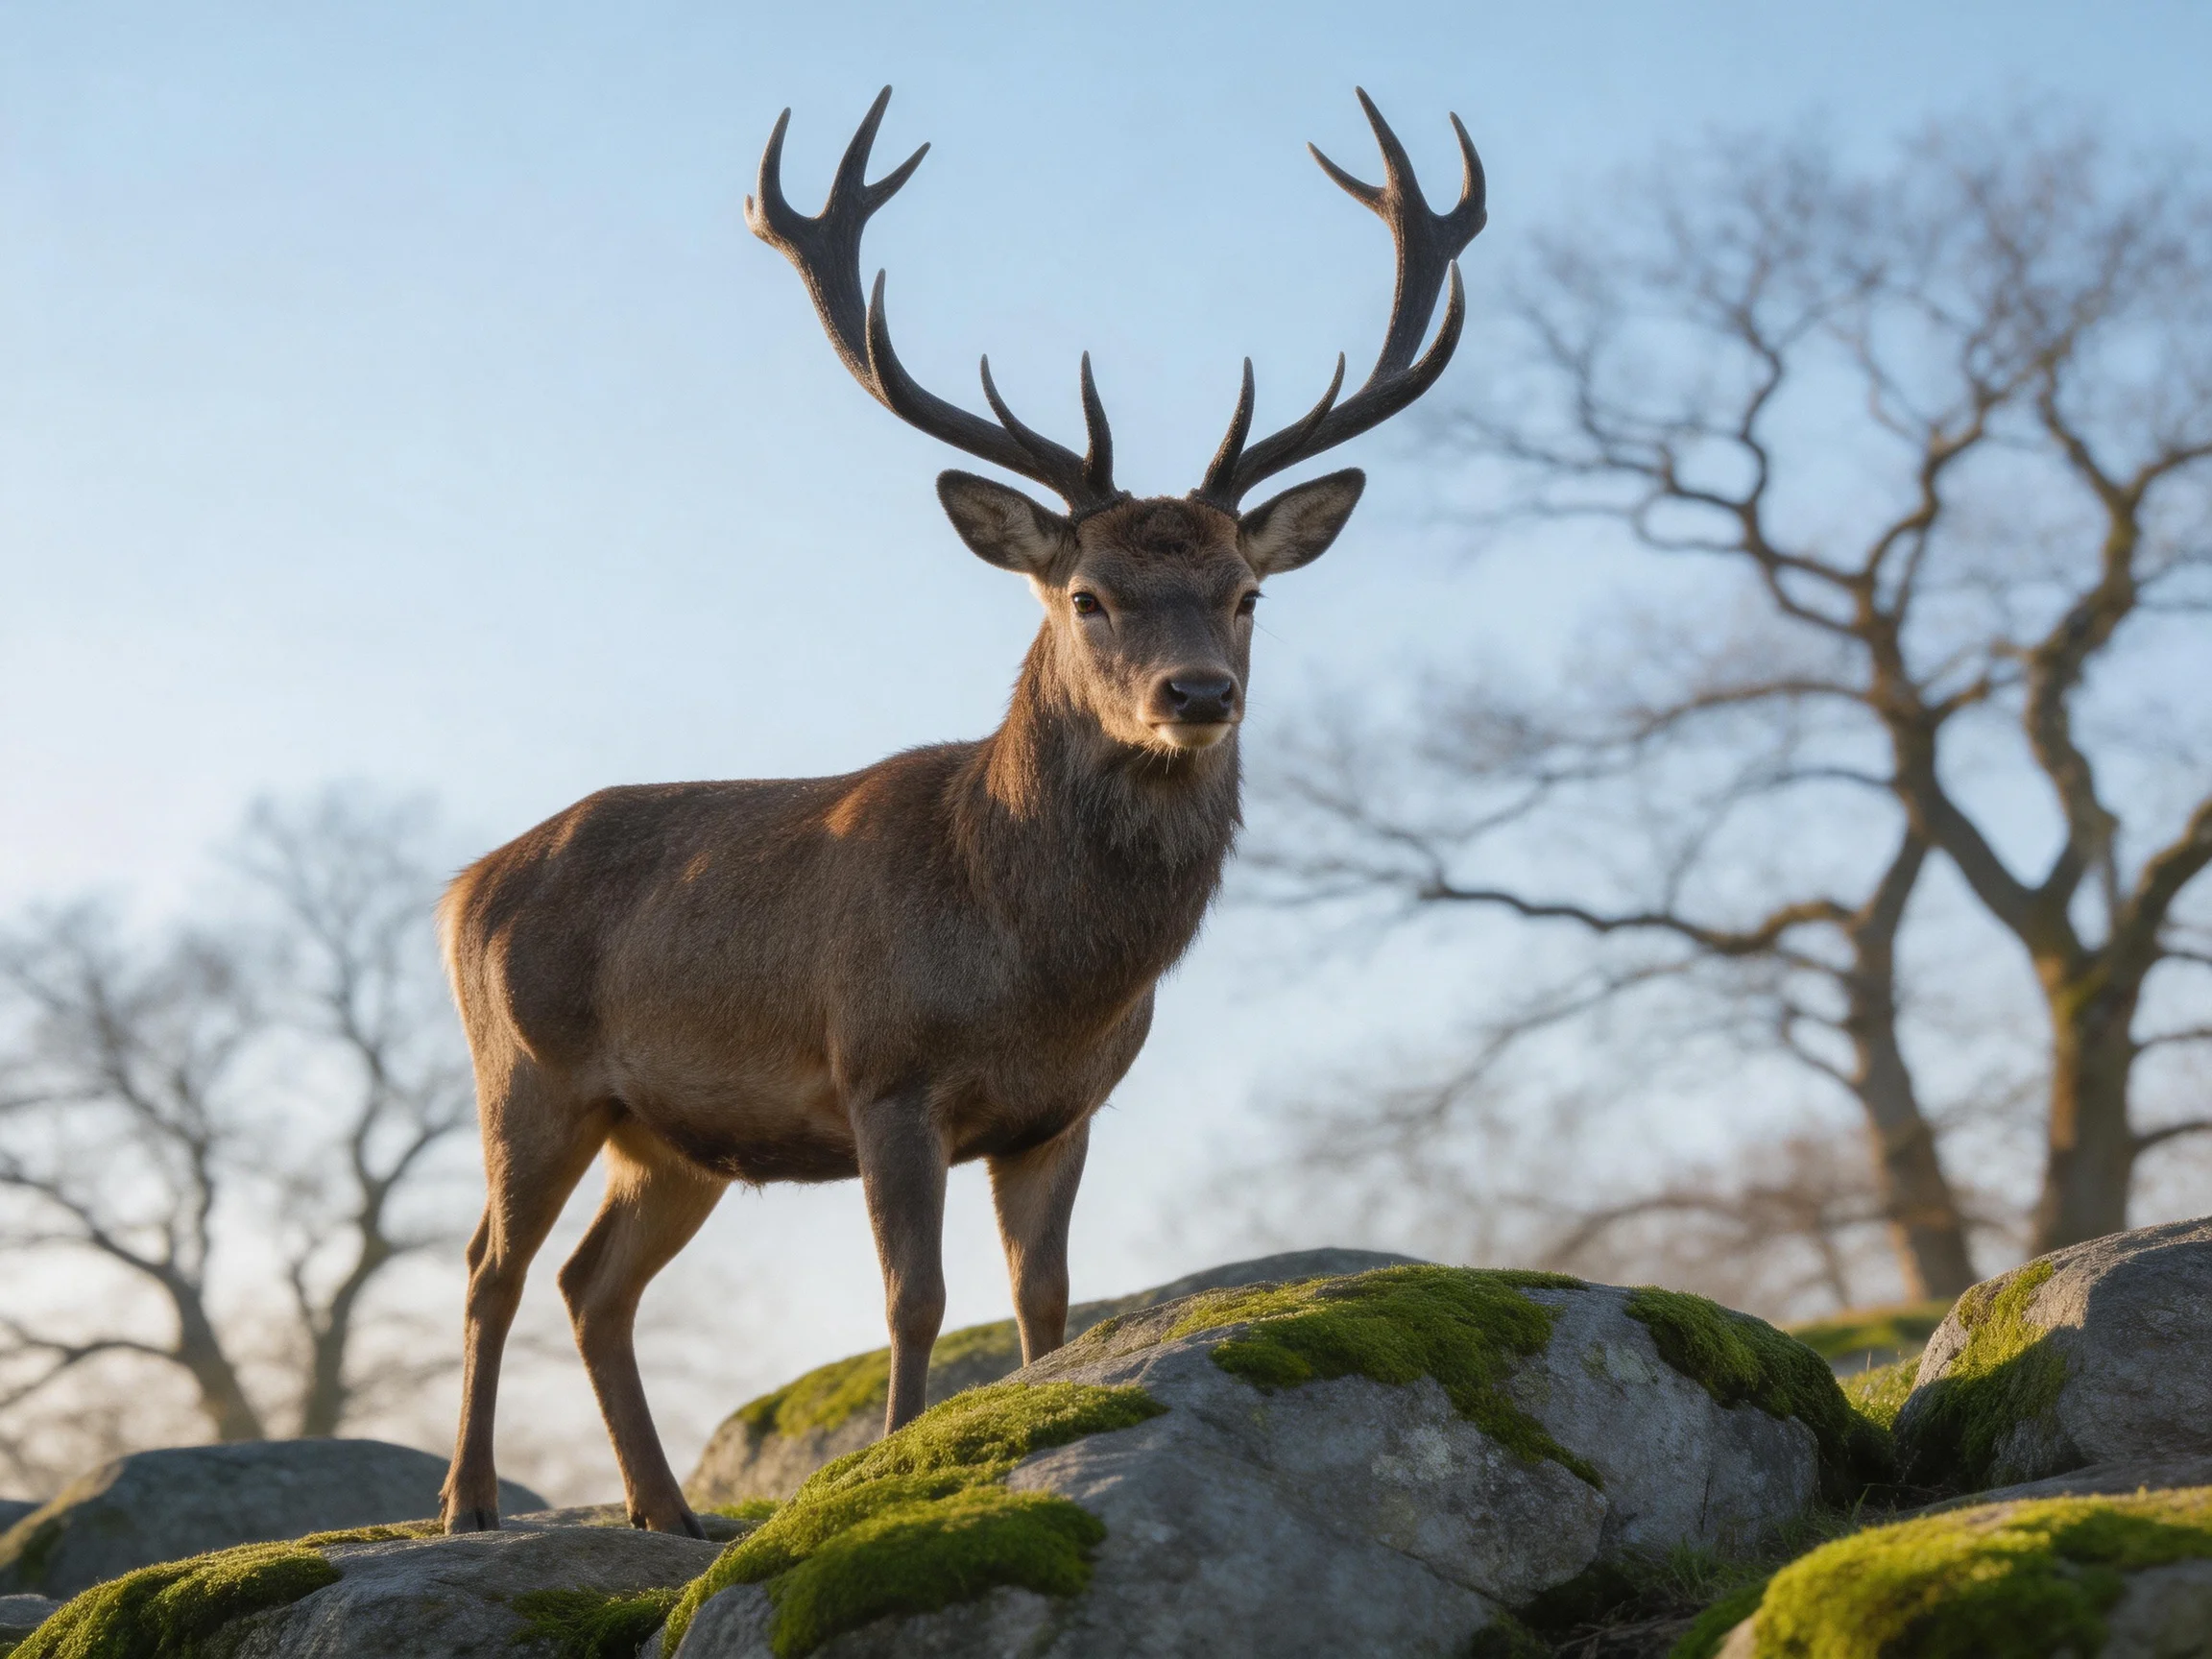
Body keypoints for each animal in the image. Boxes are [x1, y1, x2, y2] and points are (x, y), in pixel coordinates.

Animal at [437, 86, 1485, 1537]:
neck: (1038, 964)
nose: (1198, 693)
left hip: (674, 1136)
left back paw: (669, 1513)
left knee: (593, 1283)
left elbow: (1045, 1302)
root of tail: (460, 886)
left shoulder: (1065, 1112)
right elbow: (914, 1299)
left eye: (1248, 593)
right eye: (1089, 594)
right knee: (487, 1265)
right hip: (525, 1069)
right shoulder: (885, 1072)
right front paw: (889, 1466)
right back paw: (471, 1505)